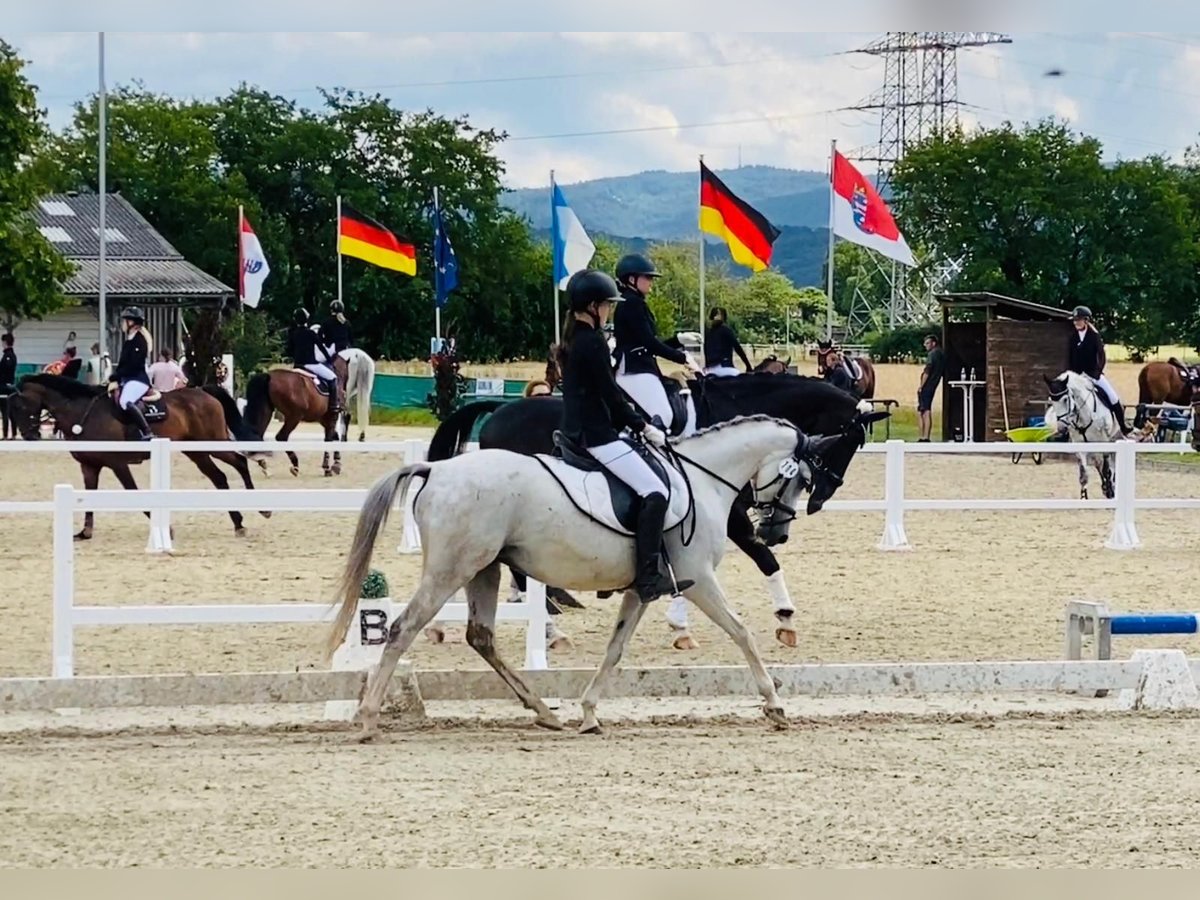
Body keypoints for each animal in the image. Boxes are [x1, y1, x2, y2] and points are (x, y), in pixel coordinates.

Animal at [7, 374, 267, 542]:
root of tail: (202, 390)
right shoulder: (89, 465)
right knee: (220, 477)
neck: (82, 413)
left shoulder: (118, 464)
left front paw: (166, 529)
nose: (30, 436)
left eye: (21, 406)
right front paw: (85, 533)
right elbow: (88, 496)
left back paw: (261, 510)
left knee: (239, 462)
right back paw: (239, 523)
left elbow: (133, 491)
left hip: (210, 444)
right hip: (197, 451)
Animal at [321, 415, 864, 739]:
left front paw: (588, 712)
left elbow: (615, 649)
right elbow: (742, 632)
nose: (776, 532)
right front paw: (774, 704)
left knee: (481, 637)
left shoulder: (645, 589)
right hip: (452, 568)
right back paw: (367, 719)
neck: (703, 478)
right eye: (801, 478)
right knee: (401, 629)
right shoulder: (699, 580)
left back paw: (544, 711)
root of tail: (437, 470)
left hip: (484, 569)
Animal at [427, 376, 888, 652]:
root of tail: (498, 408)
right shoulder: (725, 515)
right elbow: (762, 557)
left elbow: (756, 558)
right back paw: (551, 627)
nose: (819, 501)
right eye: (846, 444)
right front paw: (783, 617)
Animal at [1046, 369, 1128, 504]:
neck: (1084, 416)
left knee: (1111, 463)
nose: (1061, 429)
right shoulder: (1080, 446)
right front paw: (1084, 497)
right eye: (1051, 401)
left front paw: (1110, 490)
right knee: (1098, 464)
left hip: (1115, 437)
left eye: (1065, 400)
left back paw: (1111, 486)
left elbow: (1106, 469)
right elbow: (1084, 475)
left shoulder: (1104, 442)